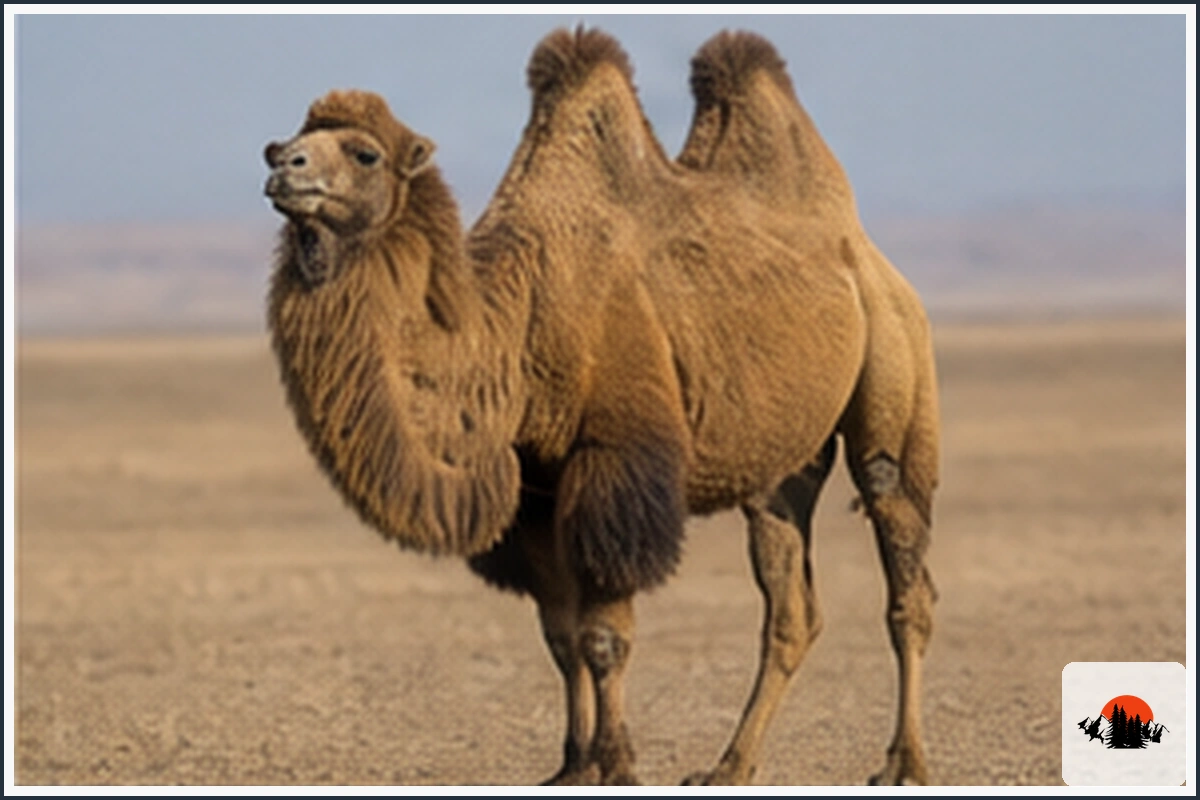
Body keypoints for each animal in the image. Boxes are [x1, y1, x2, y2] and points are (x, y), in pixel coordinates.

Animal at [263, 27, 939, 786]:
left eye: (365, 153)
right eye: (289, 140)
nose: (281, 164)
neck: (514, 324)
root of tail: (871, 258)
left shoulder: (614, 466)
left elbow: (604, 636)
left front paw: (615, 763)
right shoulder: (535, 491)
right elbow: (560, 637)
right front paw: (571, 765)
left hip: (896, 358)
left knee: (902, 563)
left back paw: (904, 763)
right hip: (782, 464)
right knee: (790, 601)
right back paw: (729, 766)